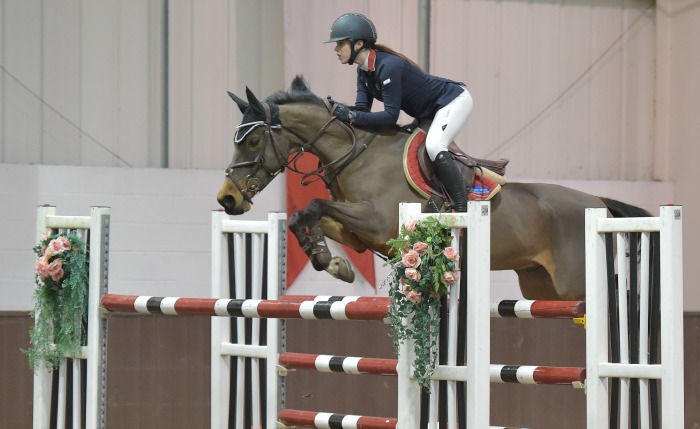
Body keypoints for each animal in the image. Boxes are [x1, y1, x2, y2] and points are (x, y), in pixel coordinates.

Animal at [216, 75, 648, 300]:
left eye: (253, 141)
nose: (228, 199)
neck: (356, 154)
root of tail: (597, 202)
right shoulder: (359, 233)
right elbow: (306, 217)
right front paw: (332, 262)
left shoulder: (379, 222)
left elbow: (314, 207)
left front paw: (330, 261)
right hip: (542, 288)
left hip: (574, 287)